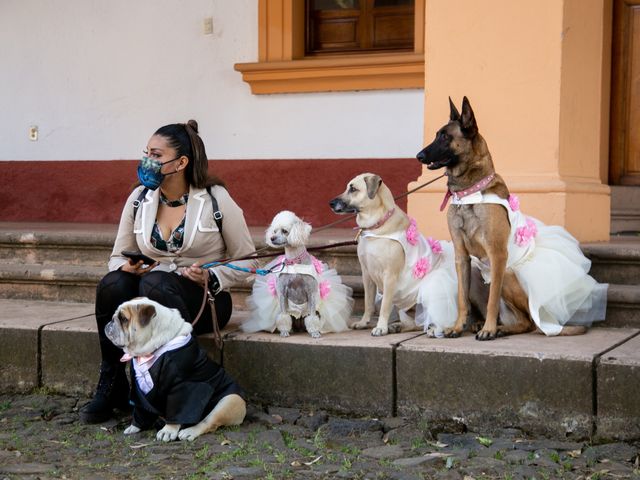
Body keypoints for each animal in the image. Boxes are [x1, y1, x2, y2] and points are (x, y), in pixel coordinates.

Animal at [105, 298, 245, 440]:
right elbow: (141, 409)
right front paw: (135, 426)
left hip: (229, 401)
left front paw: (168, 431)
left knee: (208, 422)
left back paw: (189, 432)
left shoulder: (182, 386)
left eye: (124, 319)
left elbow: (177, 409)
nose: (110, 321)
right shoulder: (139, 390)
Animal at [245, 210, 356, 338]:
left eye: (284, 231)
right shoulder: (282, 292)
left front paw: (314, 333)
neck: (294, 262)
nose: (272, 238)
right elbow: (283, 315)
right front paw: (284, 331)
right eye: (274, 230)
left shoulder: (311, 292)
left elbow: (312, 317)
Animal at [330, 174, 460, 336]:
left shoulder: (389, 276)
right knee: (416, 322)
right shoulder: (367, 274)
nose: (330, 203)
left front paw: (381, 327)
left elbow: (385, 305)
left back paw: (437, 329)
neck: (376, 226)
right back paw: (398, 326)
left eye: (353, 189)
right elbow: (368, 302)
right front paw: (364, 322)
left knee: (435, 318)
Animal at [416, 95, 584, 340]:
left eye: (446, 137)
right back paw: (483, 324)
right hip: (475, 274)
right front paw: (457, 326)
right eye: (437, 134)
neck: (469, 193)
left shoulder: (497, 255)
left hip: (507, 274)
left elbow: (492, 301)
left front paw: (489, 329)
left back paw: (498, 328)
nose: (418, 156)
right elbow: (462, 299)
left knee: (527, 322)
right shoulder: (462, 257)